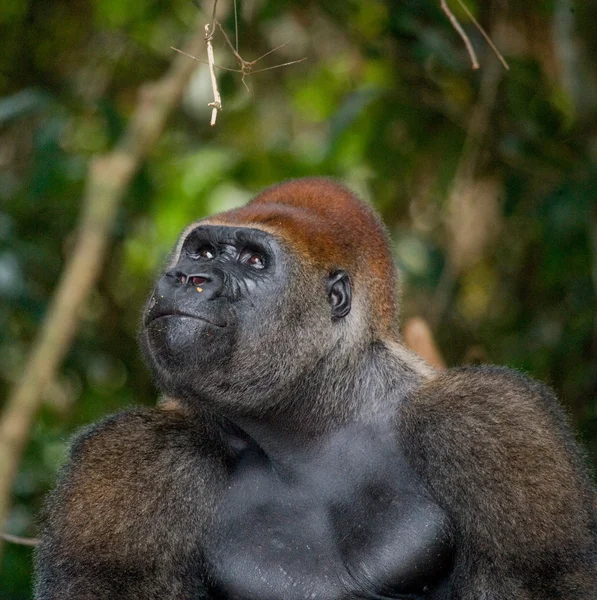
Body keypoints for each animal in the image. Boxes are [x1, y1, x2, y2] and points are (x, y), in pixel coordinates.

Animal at [35, 179, 592, 600]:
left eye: (253, 261)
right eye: (204, 251)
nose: (186, 276)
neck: (314, 415)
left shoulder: (493, 421)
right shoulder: (135, 458)